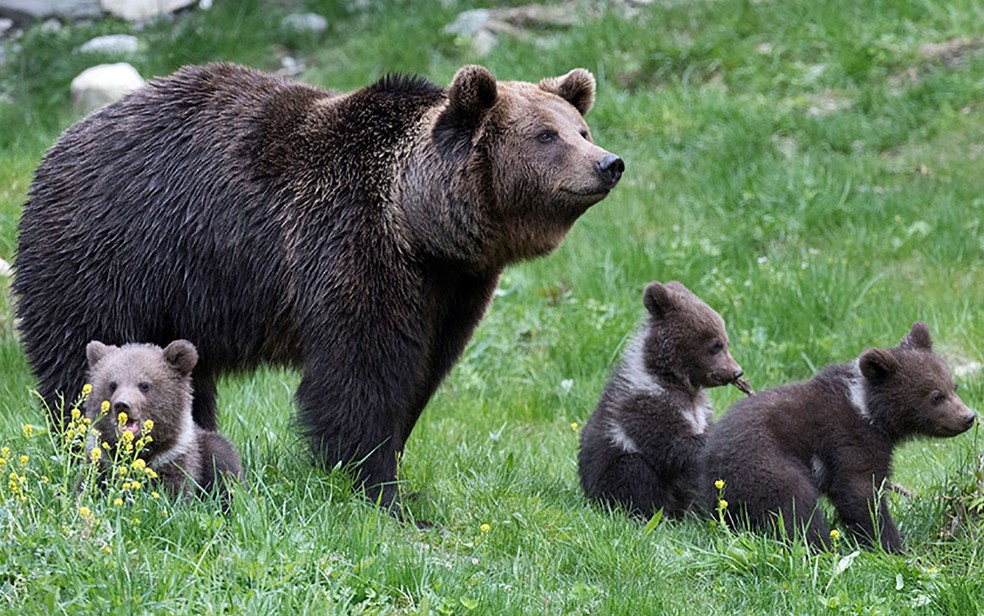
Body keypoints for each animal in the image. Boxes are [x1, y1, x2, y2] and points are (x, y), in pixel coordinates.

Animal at [15, 61, 624, 510]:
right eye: (546, 135)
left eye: (582, 129)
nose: (608, 163)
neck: (421, 226)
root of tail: (56, 146)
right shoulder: (349, 246)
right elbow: (360, 376)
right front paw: (378, 490)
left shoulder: (454, 289)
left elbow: (423, 373)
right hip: (110, 253)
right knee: (80, 352)